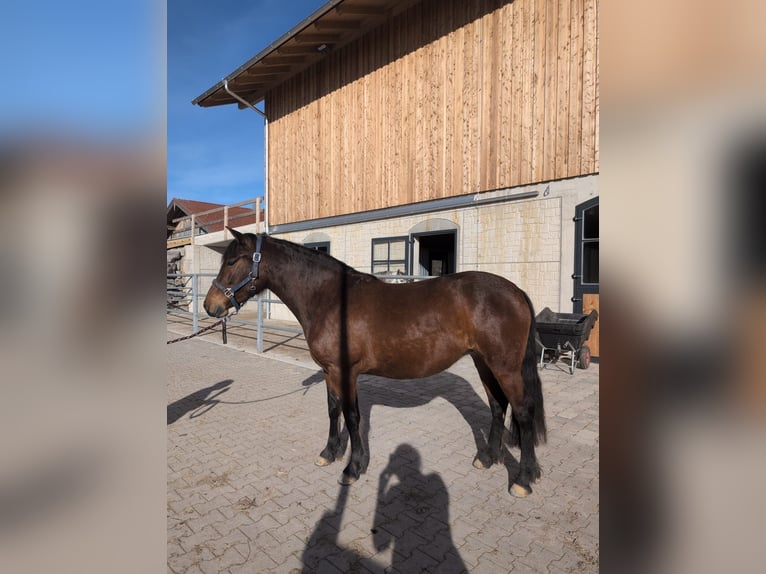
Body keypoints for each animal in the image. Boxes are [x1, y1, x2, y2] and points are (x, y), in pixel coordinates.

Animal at [203, 229, 546, 497]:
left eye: (232, 262)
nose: (211, 306)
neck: (330, 299)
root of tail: (515, 291)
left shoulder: (345, 372)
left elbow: (353, 416)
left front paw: (353, 467)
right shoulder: (330, 372)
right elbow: (333, 410)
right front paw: (329, 453)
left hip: (504, 367)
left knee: (523, 411)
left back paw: (523, 479)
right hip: (483, 362)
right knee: (498, 406)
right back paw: (487, 458)